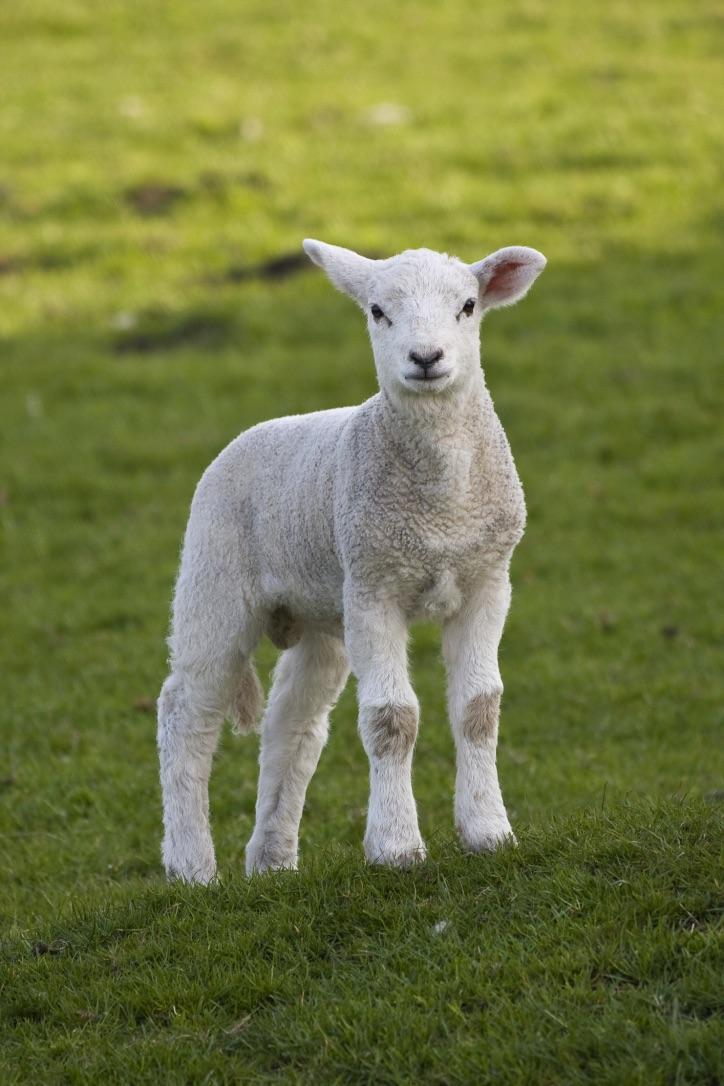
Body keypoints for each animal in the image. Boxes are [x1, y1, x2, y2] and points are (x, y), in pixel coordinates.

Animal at [157, 237, 542, 881]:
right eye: (377, 311)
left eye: (467, 306)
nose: (426, 356)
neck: (441, 504)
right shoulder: (373, 586)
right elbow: (392, 718)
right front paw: (396, 847)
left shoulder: (487, 579)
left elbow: (478, 708)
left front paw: (489, 832)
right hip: (214, 574)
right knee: (186, 711)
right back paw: (191, 867)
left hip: (320, 615)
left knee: (293, 725)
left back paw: (272, 861)